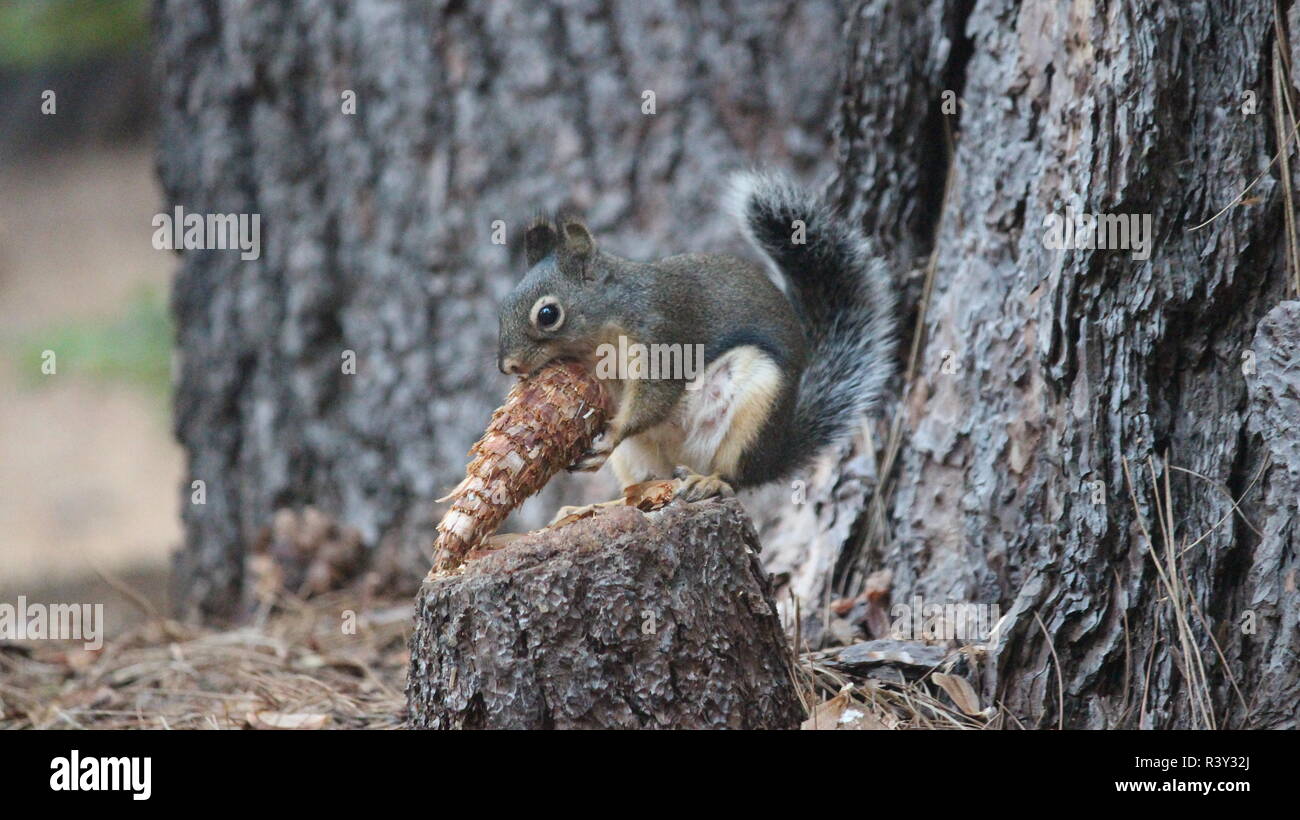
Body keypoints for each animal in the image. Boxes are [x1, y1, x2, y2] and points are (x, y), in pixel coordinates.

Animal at [493, 171, 894, 506]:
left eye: (548, 315)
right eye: (503, 307)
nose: (508, 366)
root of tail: (774, 456)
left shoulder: (663, 336)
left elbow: (655, 397)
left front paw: (614, 430)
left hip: (755, 407)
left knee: (735, 478)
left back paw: (709, 482)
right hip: (639, 458)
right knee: (645, 483)